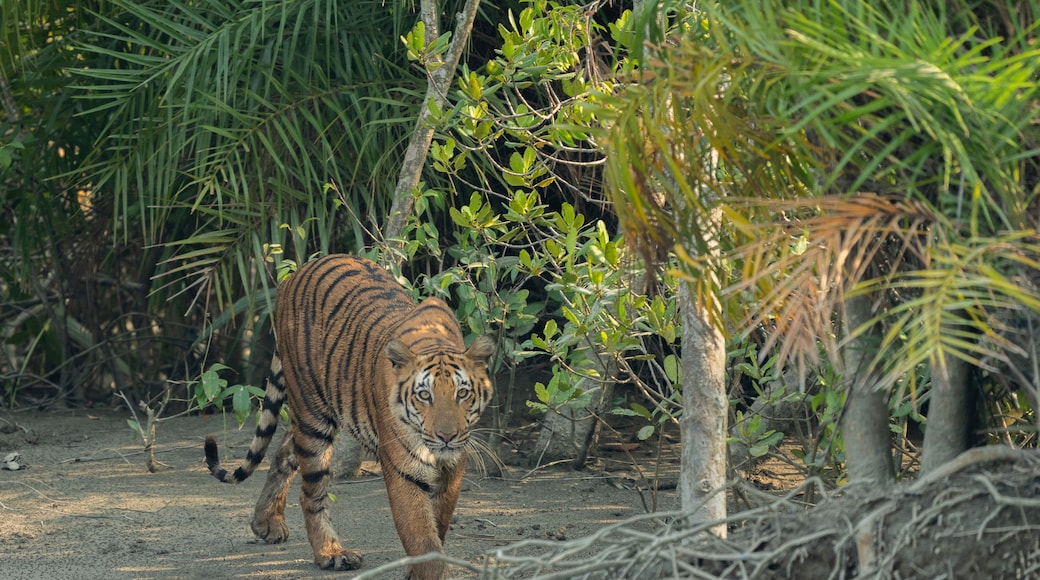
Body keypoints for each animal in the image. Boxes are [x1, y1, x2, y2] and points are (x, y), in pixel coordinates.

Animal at [203, 254, 495, 579]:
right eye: (424, 396)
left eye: (462, 393)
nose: (447, 436)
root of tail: (294, 275)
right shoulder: (404, 469)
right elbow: (422, 538)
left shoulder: (453, 468)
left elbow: (438, 522)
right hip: (313, 415)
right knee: (311, 493)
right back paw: (331, 553)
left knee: (283, 451)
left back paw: (266, 522)